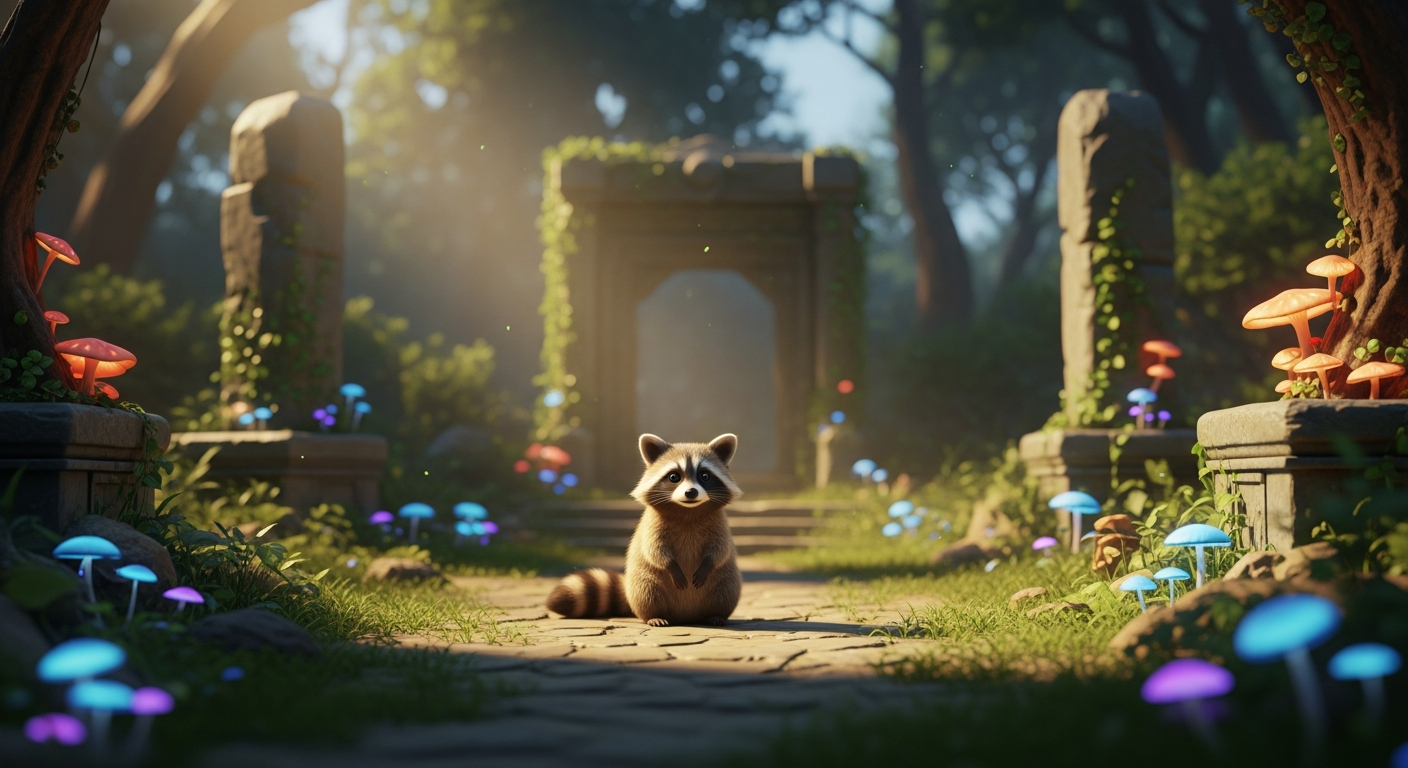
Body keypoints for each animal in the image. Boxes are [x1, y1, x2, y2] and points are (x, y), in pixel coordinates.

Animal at [546, 433, 743, 627]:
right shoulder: (653, 525)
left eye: (705, 476)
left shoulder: (719, 524)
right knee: (648, 591)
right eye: (674, 477)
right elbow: (654, 550)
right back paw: (654, 615)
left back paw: (715, 614)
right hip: (644, 581)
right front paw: (670, 566)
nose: (691, 492)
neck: (688, 510)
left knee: (725, 588)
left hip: (725, 580)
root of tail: (686, 617)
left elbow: (720, 550)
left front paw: (708, 564)